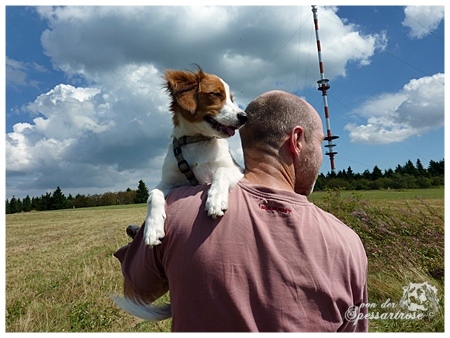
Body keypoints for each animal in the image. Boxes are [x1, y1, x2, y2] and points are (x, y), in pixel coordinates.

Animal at [111, 66, 246, 322]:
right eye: (216, 95)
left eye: (232, 98)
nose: (245, 117)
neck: (196, 143)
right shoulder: (168, 182)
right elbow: (153, 194)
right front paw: (153, 228)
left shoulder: (236, 171)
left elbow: (220, 171)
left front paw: (215, 200)